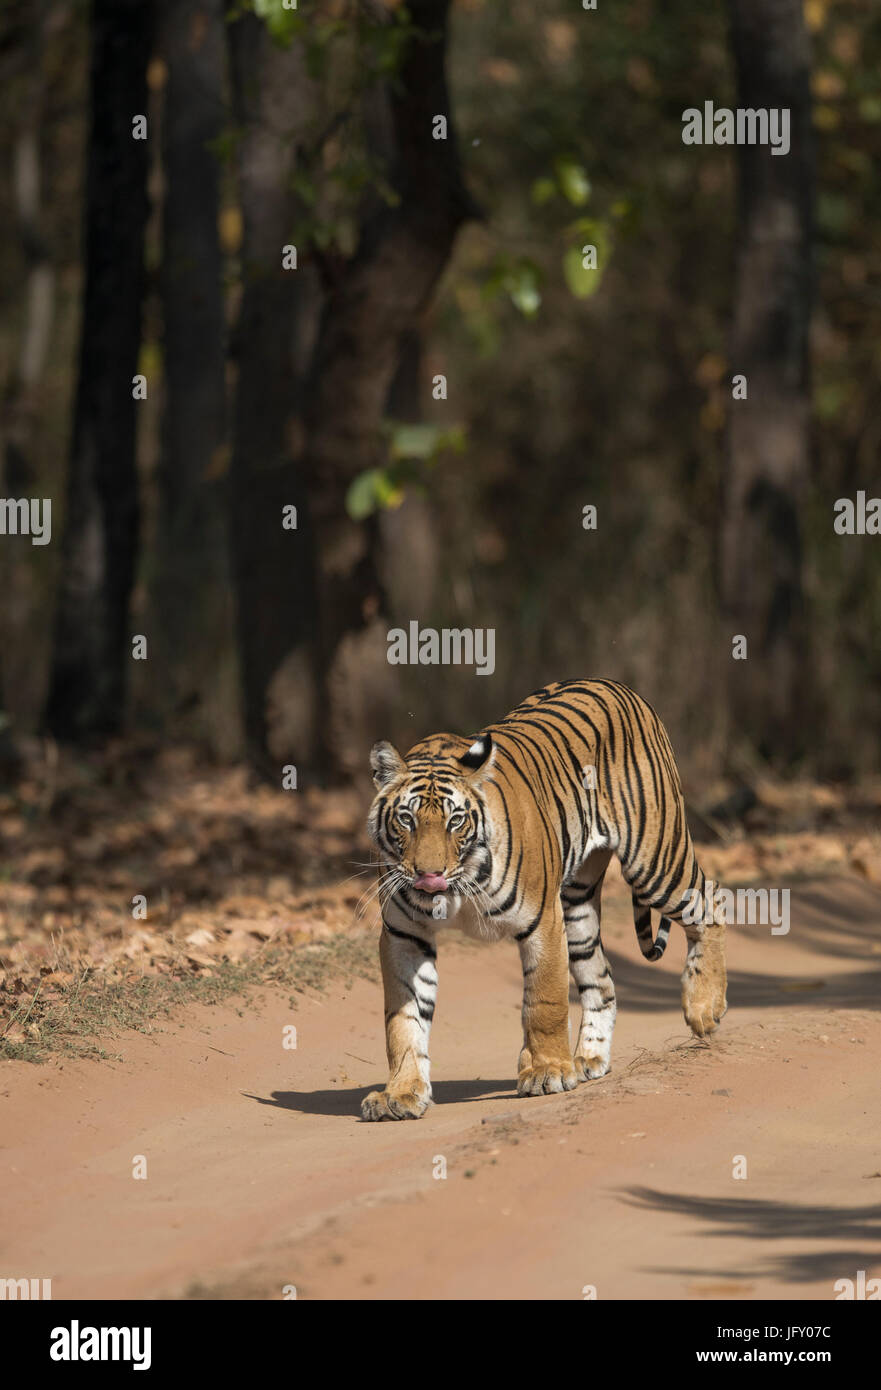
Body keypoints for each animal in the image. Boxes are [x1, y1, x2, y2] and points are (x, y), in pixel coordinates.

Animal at [361, 678, 722, 1123]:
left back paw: (705, 1008)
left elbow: (545, 1001)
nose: (430, 875)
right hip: (578, 904)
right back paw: (587, 1059)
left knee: (709, 903)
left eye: (455, 820)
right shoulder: (404, 935)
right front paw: (401, 1092)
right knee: (601, 978)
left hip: (653, 859)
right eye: (406, 819)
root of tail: (616, 684)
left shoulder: (542, 920)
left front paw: (547, 1071)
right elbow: (404, 1019)